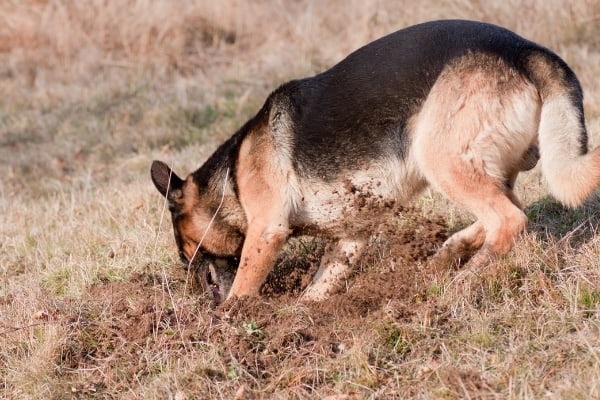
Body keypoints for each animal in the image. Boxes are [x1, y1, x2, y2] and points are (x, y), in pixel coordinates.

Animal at [151, 18, 600, 300]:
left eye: (184, 246)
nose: (192, 292)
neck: (232, 178)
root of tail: (527, 51)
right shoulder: (349, 239)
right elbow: (315, 291)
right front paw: (298, 321)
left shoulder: (266, 233)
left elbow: (242, 289)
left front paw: (228, 327)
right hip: (481, 167)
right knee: (508, 210)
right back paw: (449, 253)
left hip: (438, 157)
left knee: (510, 220)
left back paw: (464, 278)